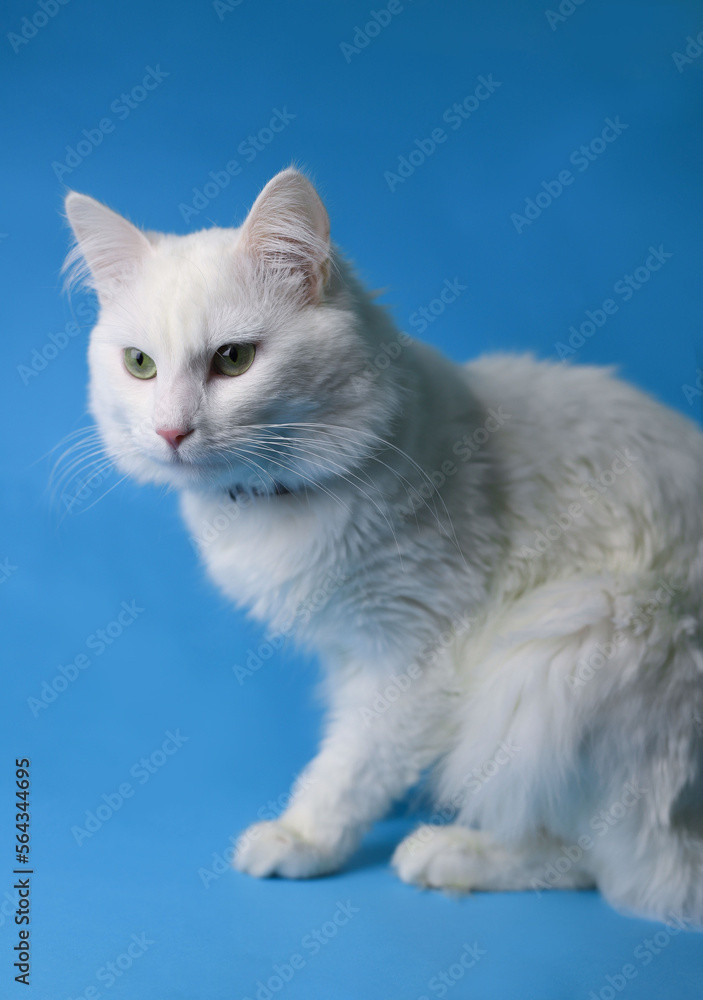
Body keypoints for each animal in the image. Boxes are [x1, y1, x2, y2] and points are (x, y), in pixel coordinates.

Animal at [64, 168, 703, 924]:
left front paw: (303, 839)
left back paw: (449, 853)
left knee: (621, 870)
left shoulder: (416, 652)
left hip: (569, 640)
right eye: (140, 365)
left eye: (233, 360)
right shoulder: (351, 650)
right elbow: (351, 748)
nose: (170, 432)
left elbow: (353, 766)